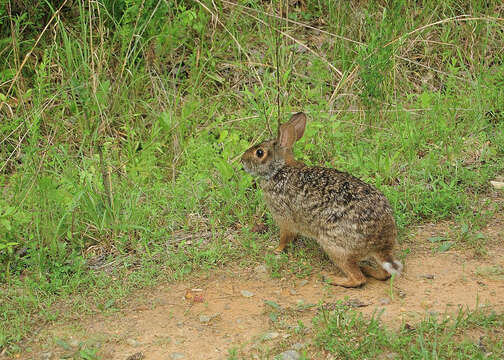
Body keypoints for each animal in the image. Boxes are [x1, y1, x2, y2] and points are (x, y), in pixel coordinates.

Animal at [240, 112, 402, 286]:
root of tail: (379, 242)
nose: (242, 161)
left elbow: (285, 237)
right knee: (385, 274)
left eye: (259, 153)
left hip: (334, 246)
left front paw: (275, 250)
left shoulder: (284, 217)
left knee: (358, 279)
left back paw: (332, 278)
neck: (279, 169)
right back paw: (368, 269)